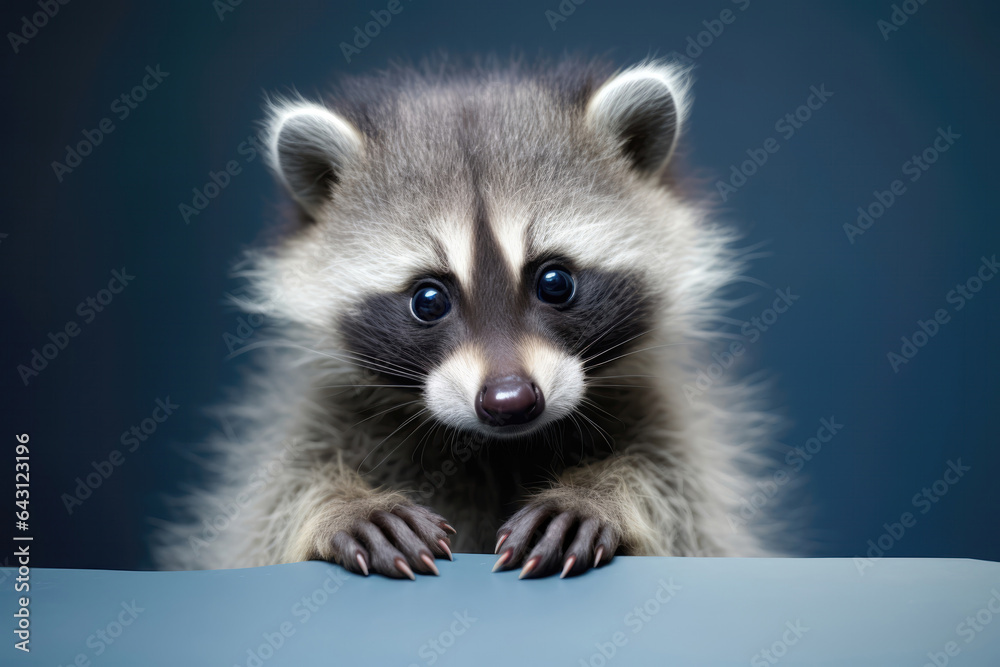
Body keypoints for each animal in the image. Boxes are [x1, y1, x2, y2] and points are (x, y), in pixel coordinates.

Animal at [154, 57, 779, 580]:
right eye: (428, 300)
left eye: (555, 282)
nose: (510, 402)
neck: (495, 446)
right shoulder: (318, 417)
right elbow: (269, 509)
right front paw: (340, 505)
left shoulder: (666, 417)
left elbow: (686, 507)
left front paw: (600, 494)